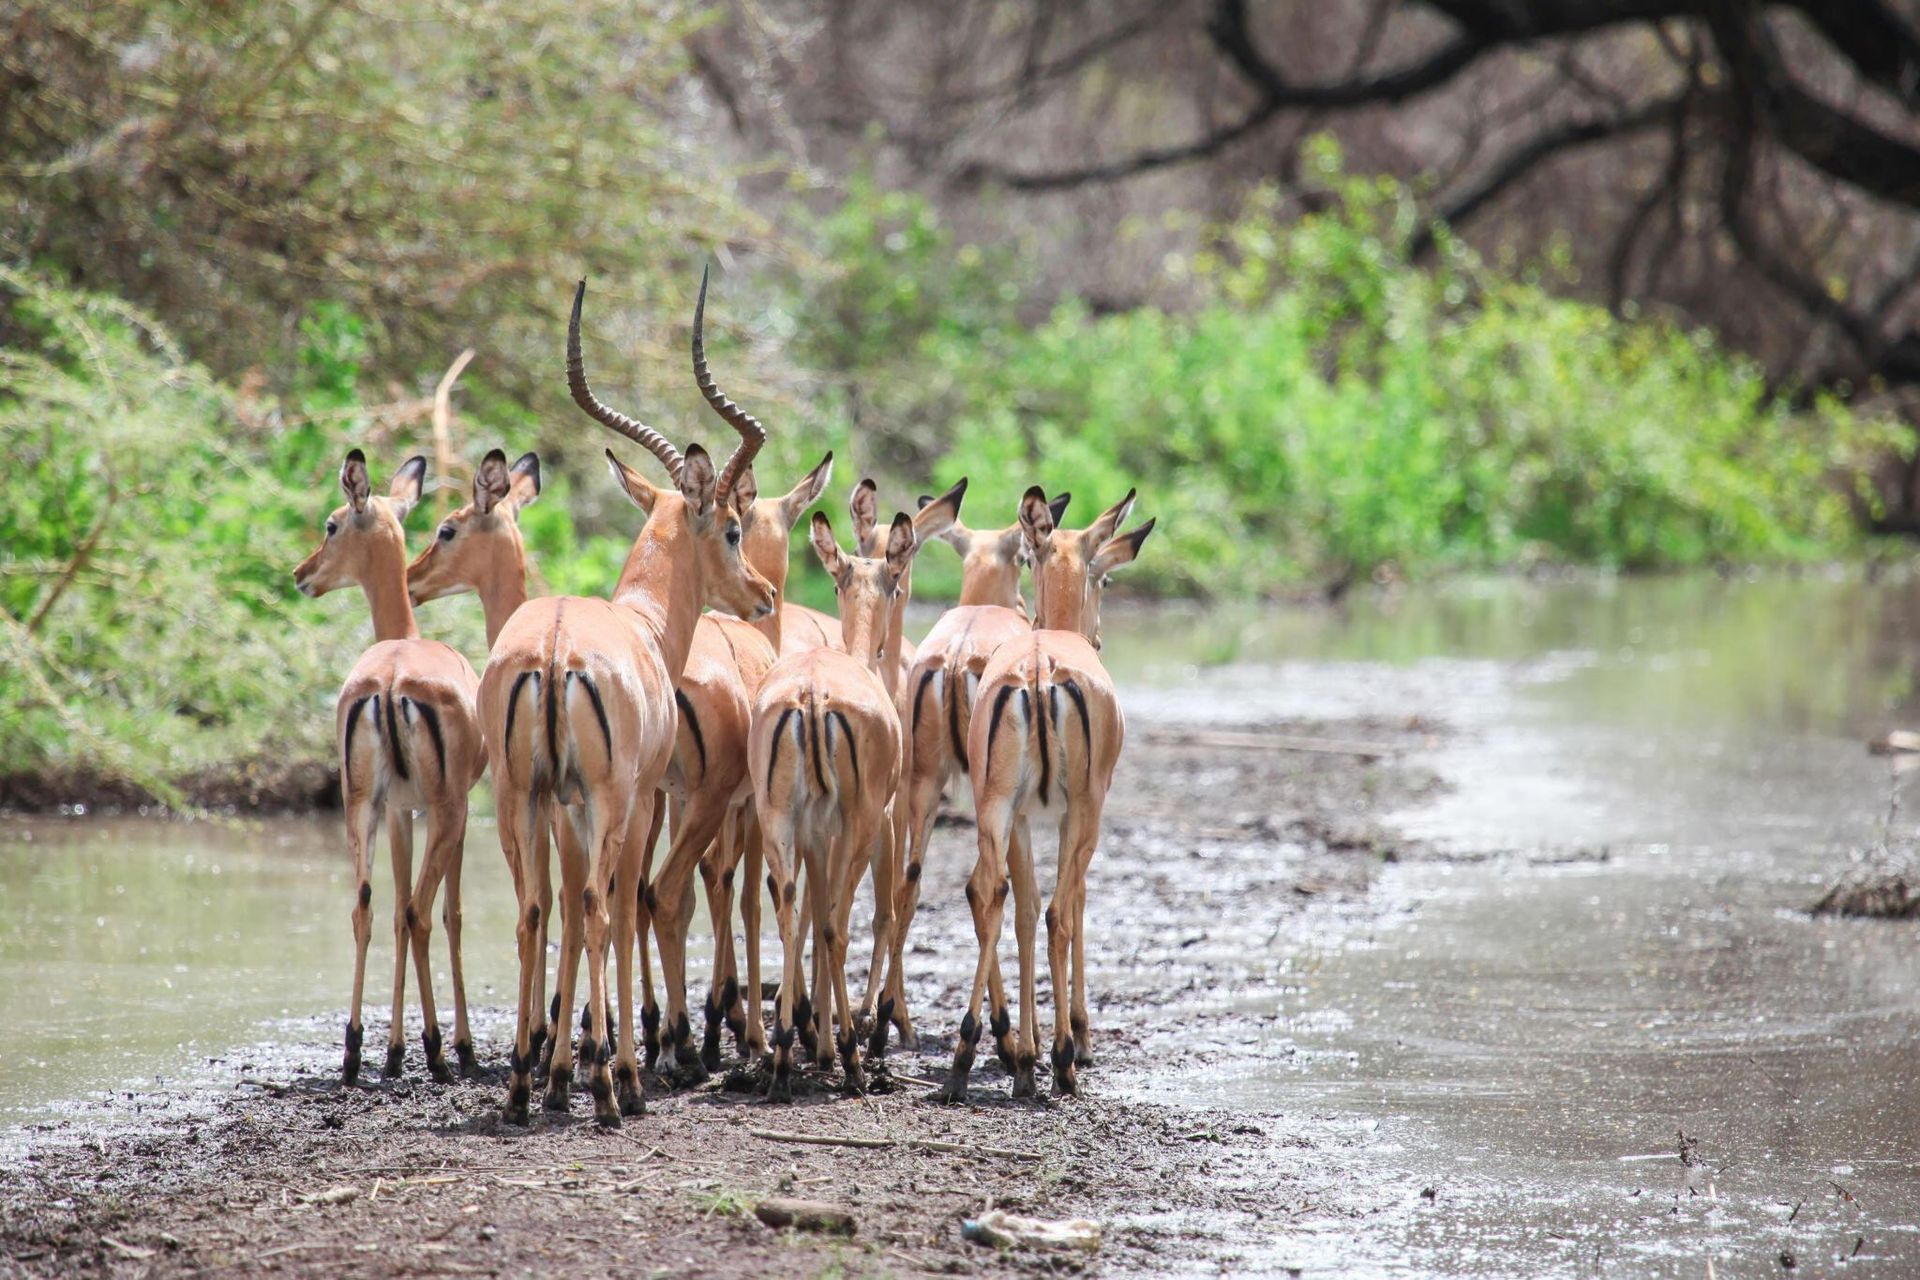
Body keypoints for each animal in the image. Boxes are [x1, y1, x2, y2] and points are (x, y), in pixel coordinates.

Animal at [293, 451, 485, 1087]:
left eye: (331, 525)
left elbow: (396, 912)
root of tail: (393, 680)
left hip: (361, 807)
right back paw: (438, 1052)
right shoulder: (446, 812)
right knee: (420, 912)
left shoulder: (400, 810)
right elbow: (448, 914)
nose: (302, 573)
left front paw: (393, 1052)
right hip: (443, 812)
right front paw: (439, 1049)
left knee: (367, 908)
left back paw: (354, 1053)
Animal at [479, 271, 775, 1127]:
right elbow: (627, 906)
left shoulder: (568, 804)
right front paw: (623, 1069)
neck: (643, 625)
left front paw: (556, 1075)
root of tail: (553, 651)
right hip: (612, 801)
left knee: (536, 911)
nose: (766, 594)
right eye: (733, 526)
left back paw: (522, 1087)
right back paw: (620, 1089)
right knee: (612, 905)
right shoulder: (638, 796)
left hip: (519, 798)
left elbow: (575, 917)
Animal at [934, 487, 1153, 1103]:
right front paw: (1073, 1041)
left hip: (994, 808)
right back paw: (1060, 1063)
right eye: (1105, 578)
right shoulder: (1081, 812)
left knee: (988, 892)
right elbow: (1071, 904)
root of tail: (1038, 666)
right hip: (1077, 811)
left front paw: (1025, 1061)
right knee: (1058, 911)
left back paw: (968, 1059)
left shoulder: (1024, 818)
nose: (1100, 635)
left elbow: (1024, 908)